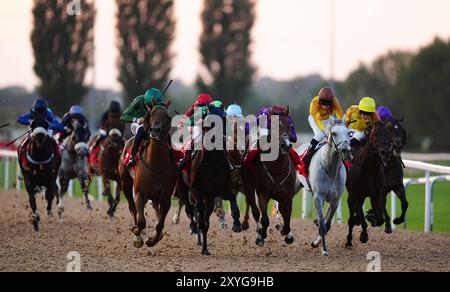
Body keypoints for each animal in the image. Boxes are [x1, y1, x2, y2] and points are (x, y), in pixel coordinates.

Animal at [118, 102, 177, 249]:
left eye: (167, 116)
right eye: (151, 114)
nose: (155, 131)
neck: (156, 165)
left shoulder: (165, 197)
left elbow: (160, 224)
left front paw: (153, 239)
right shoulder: (140, 193)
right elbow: (141, 221)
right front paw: (137, 235)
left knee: (156, 211)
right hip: (125, 183)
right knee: (132, 208)